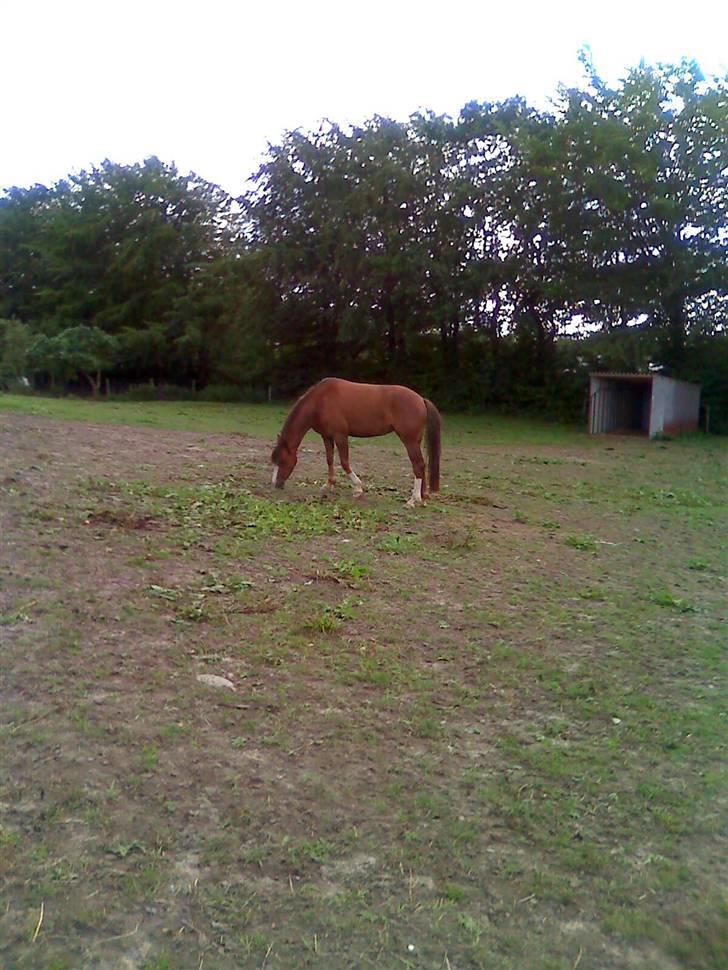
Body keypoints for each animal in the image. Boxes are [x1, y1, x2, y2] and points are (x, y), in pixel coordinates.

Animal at [270, 378, 441, 506]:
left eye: (283, 460)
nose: (276, 484)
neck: (321, 400)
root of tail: (421, 399)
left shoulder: (340, 435)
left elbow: (344, 462)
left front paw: (357, 488)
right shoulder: (327, 436)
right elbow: (329, 460)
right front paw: (328, 485)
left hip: (409, 441)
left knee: (418, 465)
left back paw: (413, 500)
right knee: (421, 465)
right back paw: (422, 496)